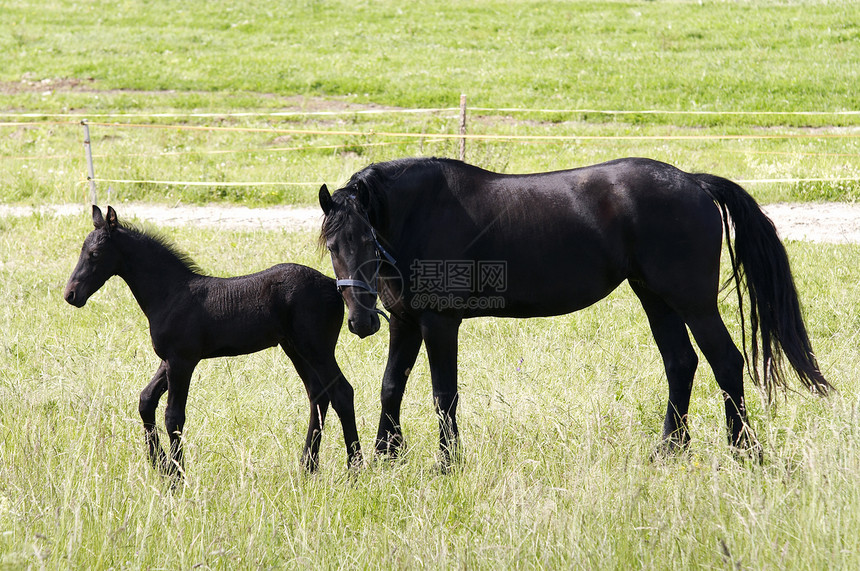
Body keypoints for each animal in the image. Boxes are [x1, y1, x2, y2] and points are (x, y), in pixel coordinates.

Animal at [65, 206, 362, 478]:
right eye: (82, 250)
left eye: (95, 254)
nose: (70, 295)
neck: (171, 293)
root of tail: (333, 286)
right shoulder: (168, 360)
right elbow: (146, 400)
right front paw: (160, 464)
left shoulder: (182, 361)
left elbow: (173, 416)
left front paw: (177, 475)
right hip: (296, 349)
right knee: (318, 395)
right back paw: (308, 467)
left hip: (317, 348)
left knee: (342, 393)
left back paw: (355, 469)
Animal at [320, 155, 828, 464]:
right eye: (332, 245)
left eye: (368, 239)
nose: (361, 322)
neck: (422, 215)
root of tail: (694, 182)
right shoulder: (406, 323)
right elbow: (391, 386)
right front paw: (387, 458)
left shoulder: (440, 324)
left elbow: (444, 395)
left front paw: (448, 464)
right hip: (655, 298)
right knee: (681, 363)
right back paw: (669, 451)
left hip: (693, 302)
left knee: (726, 361)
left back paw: (744, 451)